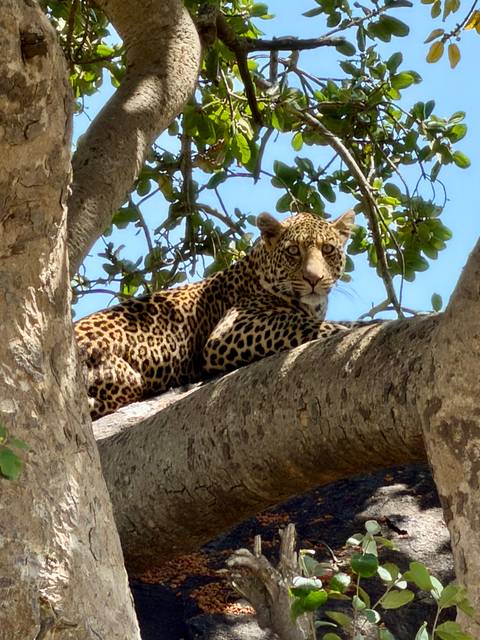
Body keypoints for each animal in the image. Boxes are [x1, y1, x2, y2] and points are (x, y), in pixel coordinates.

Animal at [75, 210, 357, 419]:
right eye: (293, 251)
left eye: (328, 249)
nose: (314, 279)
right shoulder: (228, 331)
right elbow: (295, 322)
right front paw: (348, 328)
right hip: (125, 377)